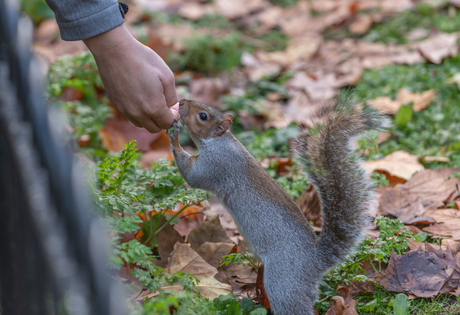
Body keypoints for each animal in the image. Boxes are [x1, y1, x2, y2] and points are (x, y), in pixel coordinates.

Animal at [167, 99, 386, 315]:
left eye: (203, 116)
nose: (182, 102)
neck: (220, 141)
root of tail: (314, 263)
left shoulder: (217, 164)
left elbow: (192, 175)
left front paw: (174, 135)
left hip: (283, 280)